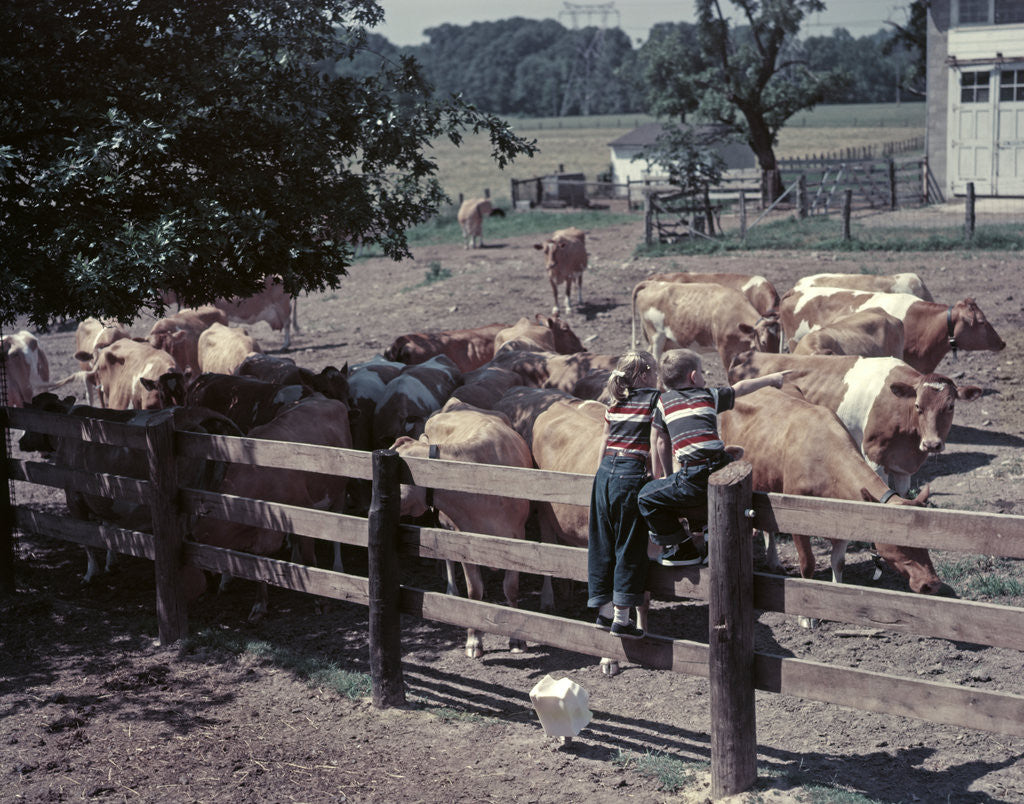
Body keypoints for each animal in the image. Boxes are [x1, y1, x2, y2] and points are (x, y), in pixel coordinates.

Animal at [189, 394, 353, 619]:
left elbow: (311, 558)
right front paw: (260, 604)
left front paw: (320, 601)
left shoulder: (305, 511)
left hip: (340, 490)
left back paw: (338, 566)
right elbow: (261, 565)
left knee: (337, 527)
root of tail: (321, 397)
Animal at [391, 401, 533, 658]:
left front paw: (517, 640)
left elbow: (511, 589)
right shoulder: (465, 540)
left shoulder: (518, 536)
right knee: (447, 558)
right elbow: (474, 591)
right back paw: (451, 592)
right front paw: (474, 640)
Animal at [720, 387, 948, 626]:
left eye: (925, 541)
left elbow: (838, 562)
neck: (825, 461)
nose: (932, 584)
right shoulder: (796, 519)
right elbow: (807, 564)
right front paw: (806, 615)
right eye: (901, 542)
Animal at [727, 351, 983, 495]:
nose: (931, 444)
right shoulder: (873, 455)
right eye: (918, 406)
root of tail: (747, 355)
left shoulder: (903, 465)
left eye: (950, 406)